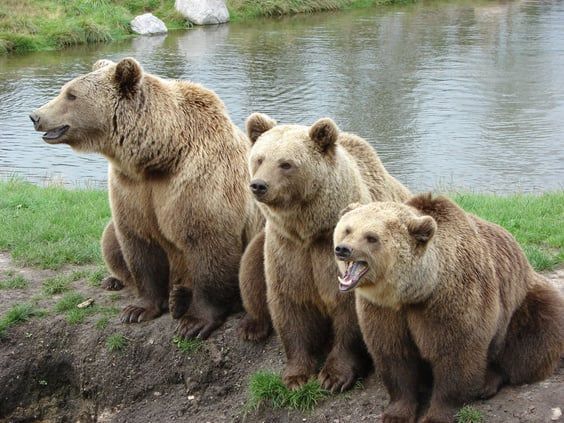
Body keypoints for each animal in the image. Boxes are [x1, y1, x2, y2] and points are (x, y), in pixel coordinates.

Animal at [28, 57, 262, 342]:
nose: (35, 116)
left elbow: (207, 244)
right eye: (65, 90)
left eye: (71, 95)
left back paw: (181, 298)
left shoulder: (200, 183)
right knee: (109, 238)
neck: (160, 156)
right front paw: (138, 309)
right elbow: (139, 243)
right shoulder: (132, 189)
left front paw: (194, 322)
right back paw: (124, 283)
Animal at [239, 112, 410, 390]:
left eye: (286, 164)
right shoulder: (288, 249)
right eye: (259, 158)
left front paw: (333, 376)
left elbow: (349, 313)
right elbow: (291, 304)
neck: (310, 230)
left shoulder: (334, 255)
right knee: (250, 267)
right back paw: (252, 326)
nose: (259, 185)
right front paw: (296, 375)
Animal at [334, 196, 564, 423]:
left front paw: (436, 415)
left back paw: (487, 381)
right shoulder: (383, 310)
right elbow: (394, 354)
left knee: (534, 337)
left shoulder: (452, 299)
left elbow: (455, 355)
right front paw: (396, 414)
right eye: (347, 229)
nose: (343, 249)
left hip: (522, 302)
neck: (413, 292)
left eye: (371, 237)